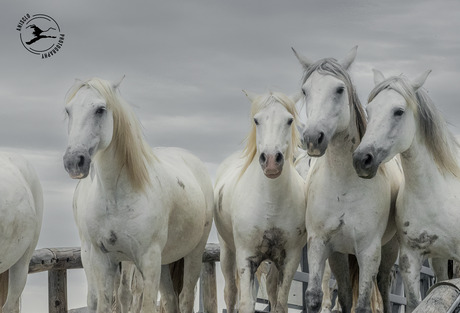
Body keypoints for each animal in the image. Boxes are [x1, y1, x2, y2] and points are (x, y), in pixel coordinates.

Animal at [62, 76, 213, 312]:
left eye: (100, 109)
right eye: (68, 110)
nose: (74, 161)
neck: (115, 197)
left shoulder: (147, 260)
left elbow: (143, 302)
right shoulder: (102, 260)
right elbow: (105, 302)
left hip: (193, 253)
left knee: (186, 298)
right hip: (163, 261)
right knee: (170, 299)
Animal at [352, 69, 460, 312]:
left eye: (398, 111)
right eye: (369, 110)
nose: (362, 159)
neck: (434, 196)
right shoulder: (411, 258)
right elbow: (415, 303)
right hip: (440, 259)